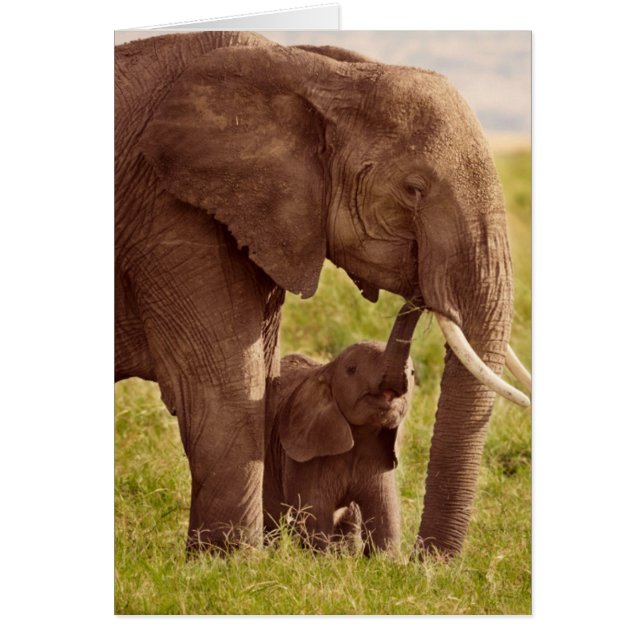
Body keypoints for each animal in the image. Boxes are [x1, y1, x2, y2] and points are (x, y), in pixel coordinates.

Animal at [263, 303, 420, 556]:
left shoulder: (379, 454)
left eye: (413, 374)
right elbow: (315, 517)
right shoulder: (306, 458)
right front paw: (320, 558)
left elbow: (385, 517)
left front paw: (385, 560)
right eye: (352, 369)